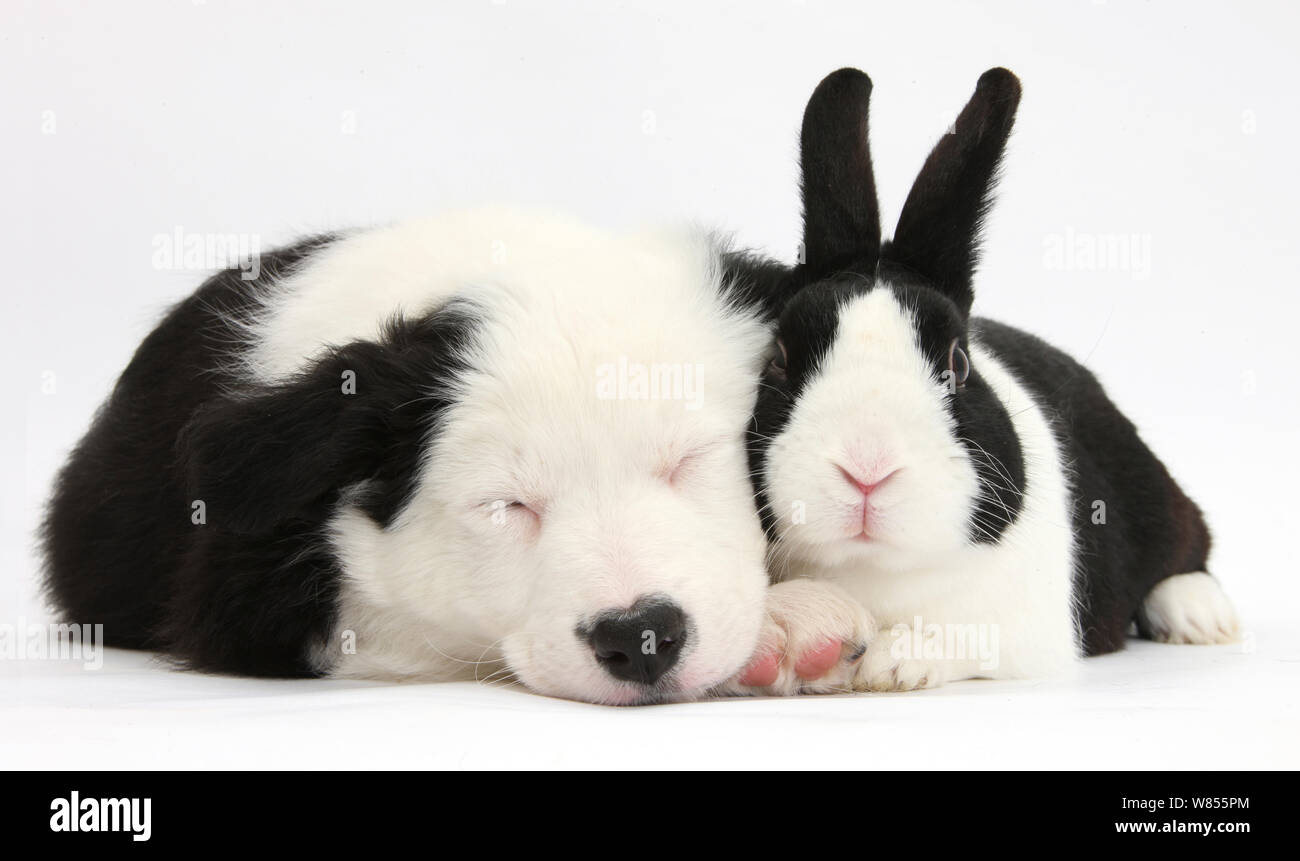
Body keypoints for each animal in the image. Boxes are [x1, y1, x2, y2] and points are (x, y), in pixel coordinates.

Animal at [737, 68, 1240, 694]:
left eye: (958, 363)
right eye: (781, 358)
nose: (867, 469)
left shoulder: (1026, 635)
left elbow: (966, 639)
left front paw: (894, 659)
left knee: (1189, 548)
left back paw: (1202, 617)